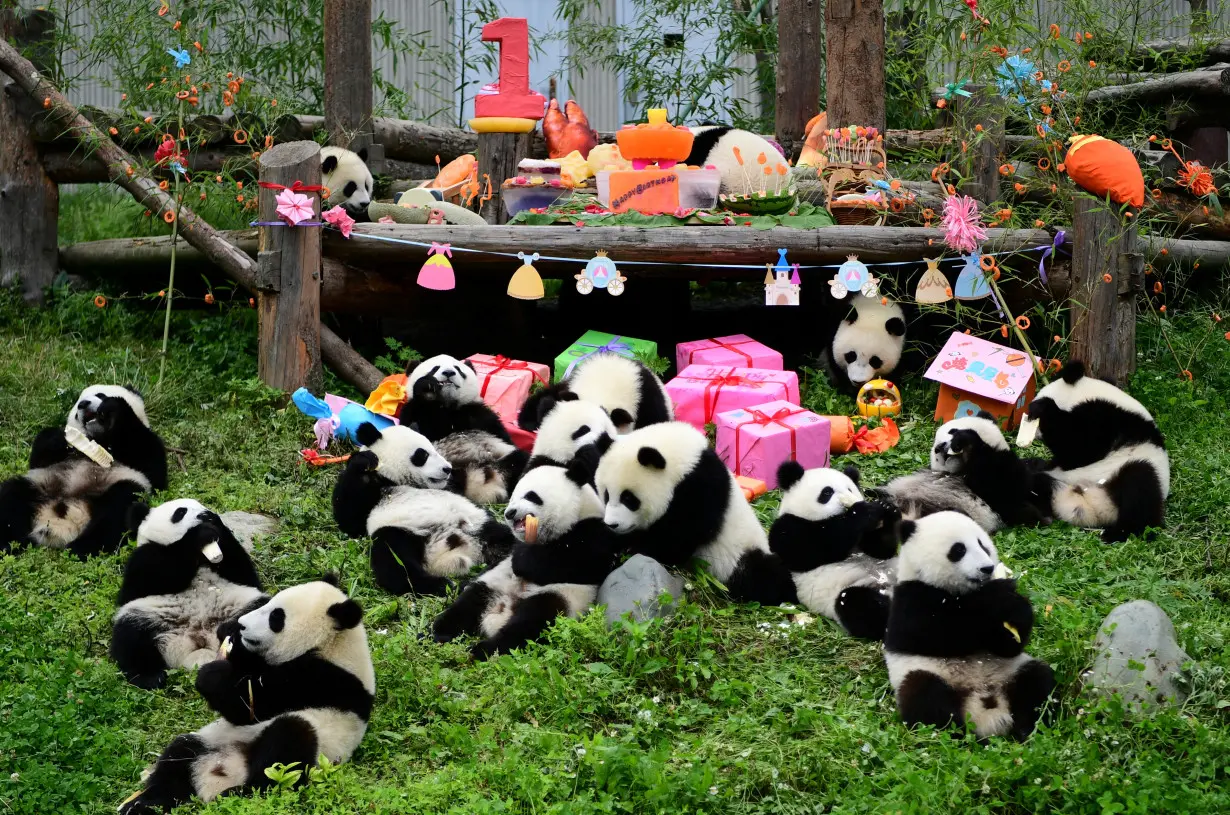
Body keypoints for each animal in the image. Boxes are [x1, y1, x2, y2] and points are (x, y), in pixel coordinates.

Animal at [0, 385, 166, 558]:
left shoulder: (145, 449)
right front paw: (59, 437)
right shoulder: (55, 459)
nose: (83, 404)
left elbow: (153, 468)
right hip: (43, 485)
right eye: (76, 409)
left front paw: (114, 408)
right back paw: (9, 544)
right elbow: (39, 458)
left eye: (101, 394)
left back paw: (82, 548)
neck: (99, 439)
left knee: (120, 506)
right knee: (12, 495)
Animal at [123, 577, 376, 811]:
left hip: (316, 749)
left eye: (276, 617)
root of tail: (217, 776)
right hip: (213, 739)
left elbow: (251, 706)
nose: (242, 625)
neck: (333, 644)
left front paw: (212, 674)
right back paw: (142, 803)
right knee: (180, 754)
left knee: (286, 744)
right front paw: (229, 634)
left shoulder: (322, 679)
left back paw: (240, 793)